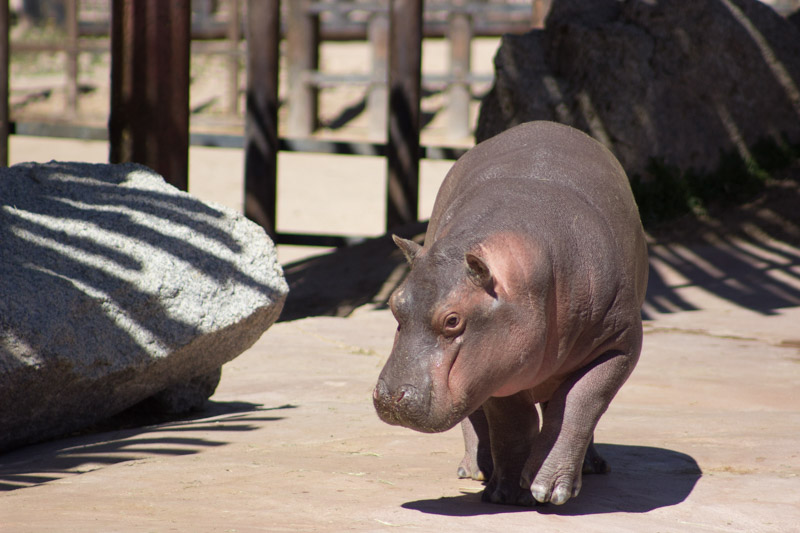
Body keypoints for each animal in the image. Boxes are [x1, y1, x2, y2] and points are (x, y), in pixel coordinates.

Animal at [372, 121, 648, 508]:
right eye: (395, 303)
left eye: (453, 320)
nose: (391, 397)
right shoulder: (496, 368)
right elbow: (511, 423)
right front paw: (507, 494)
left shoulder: (620, 344)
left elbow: (580, 402)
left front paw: (548, 490)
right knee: (478, 418)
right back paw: (477, 471)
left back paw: (591, 466)